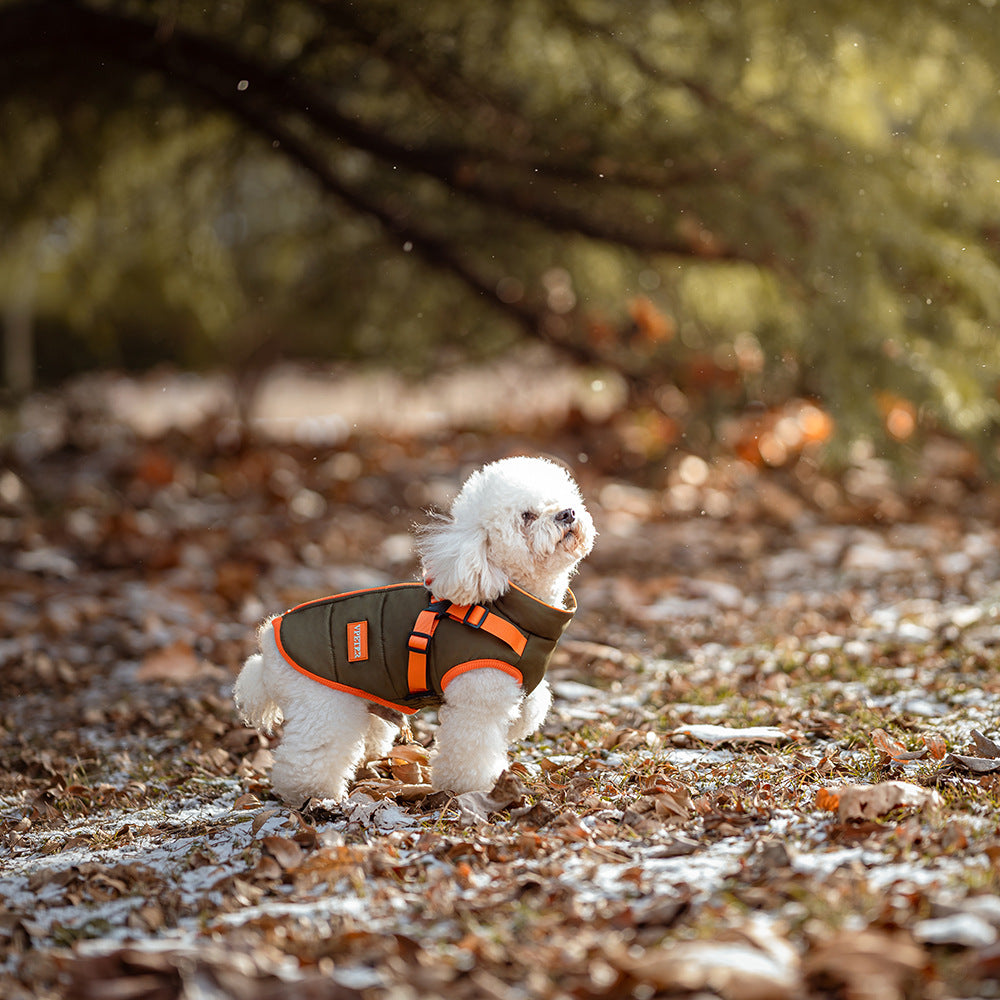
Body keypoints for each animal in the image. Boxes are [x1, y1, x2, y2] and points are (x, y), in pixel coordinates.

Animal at [234, 458, 592, 808]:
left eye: (563, 499)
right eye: (526, 516)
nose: (568, 513)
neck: (510, 606)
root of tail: (267, 649)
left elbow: (534, 703)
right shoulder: (476, 698)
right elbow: (471, 750)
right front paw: (474, 788)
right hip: (323, 706)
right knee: (308, 755)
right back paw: (312, 796)